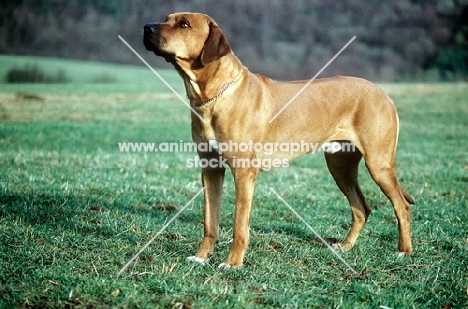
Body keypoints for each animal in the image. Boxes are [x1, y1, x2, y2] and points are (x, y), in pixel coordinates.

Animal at [143, 12, 414, 268]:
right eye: (167, 19)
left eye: (184, 24)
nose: (147, 27)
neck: (212, 95)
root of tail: (382, 92)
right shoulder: (210, 168)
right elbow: (210, 221)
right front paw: (201, 257)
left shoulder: (244, 172)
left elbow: (239, 225)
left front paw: (232, 263)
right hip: (340, 165)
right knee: (360, 208)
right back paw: (345, 246)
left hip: (378, 163)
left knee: (401, 205)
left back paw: (403, 251)